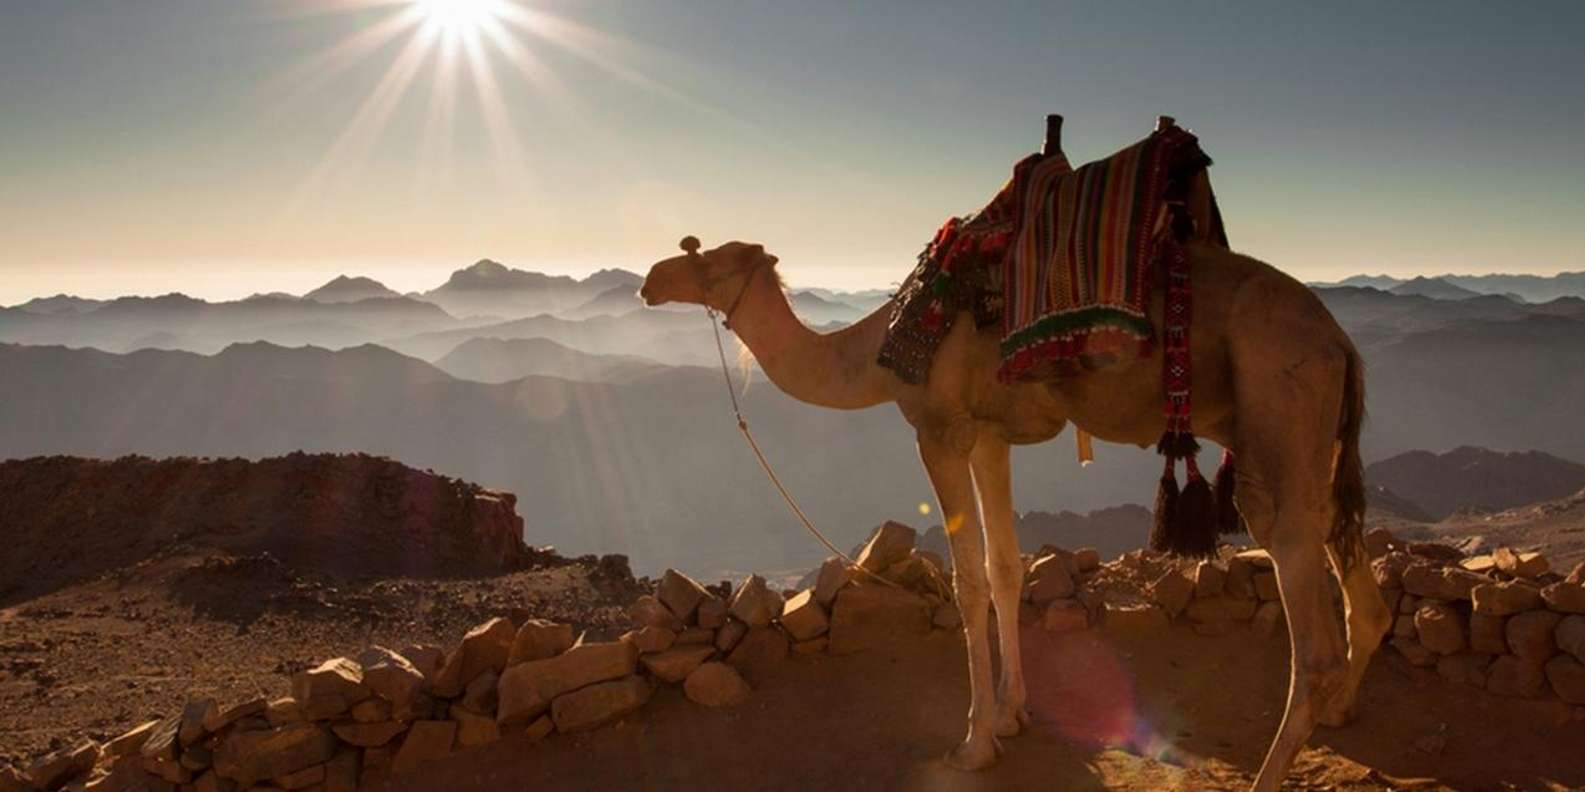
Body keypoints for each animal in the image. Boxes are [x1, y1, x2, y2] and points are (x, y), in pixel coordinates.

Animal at [638, 149, 1390, 792]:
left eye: (712, 258)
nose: (650, 280)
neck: (878, 351)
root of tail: (1340, 342)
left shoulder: (939, 429)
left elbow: (968, 581)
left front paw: (974, 743)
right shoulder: (989, 435)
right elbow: (1004, 566)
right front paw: (1011, 714)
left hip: (1278, 410)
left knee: (1306, 622)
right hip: (1314, 441)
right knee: (1349, 562)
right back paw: (1344, 706)